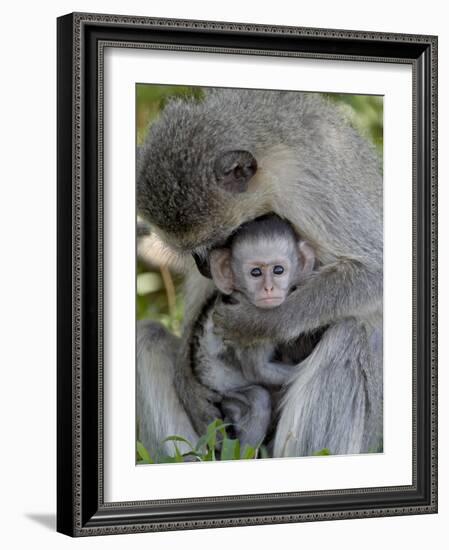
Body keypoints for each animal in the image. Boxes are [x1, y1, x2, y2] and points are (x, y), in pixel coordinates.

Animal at [190, 213, 316, 450]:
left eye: (278, 270)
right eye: (255, 272)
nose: (268, 289)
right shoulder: (250, 327)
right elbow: (258, 371)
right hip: (226, 393)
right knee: (258, 398)